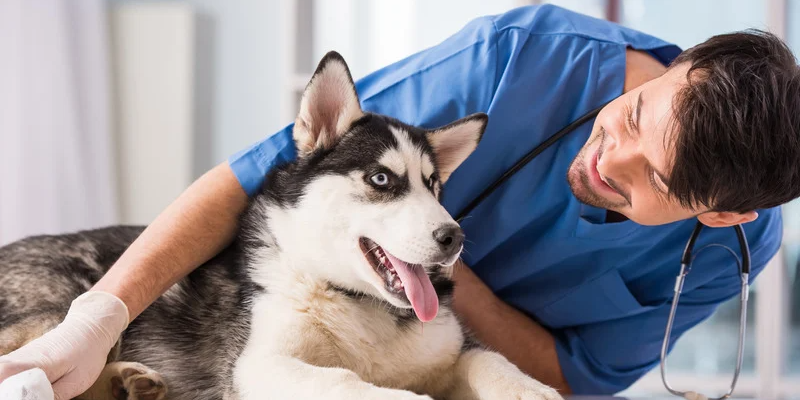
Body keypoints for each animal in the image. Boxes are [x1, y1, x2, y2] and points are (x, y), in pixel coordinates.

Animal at [0, 54, 564, 400]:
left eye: (434, 186)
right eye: (382, 179)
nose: (454, 238)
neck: (359, 305)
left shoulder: (451, 349)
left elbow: (490, 361)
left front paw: (532, 389)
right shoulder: (258, 366)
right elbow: (346, 383)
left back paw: (128, 384)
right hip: (59, 311)